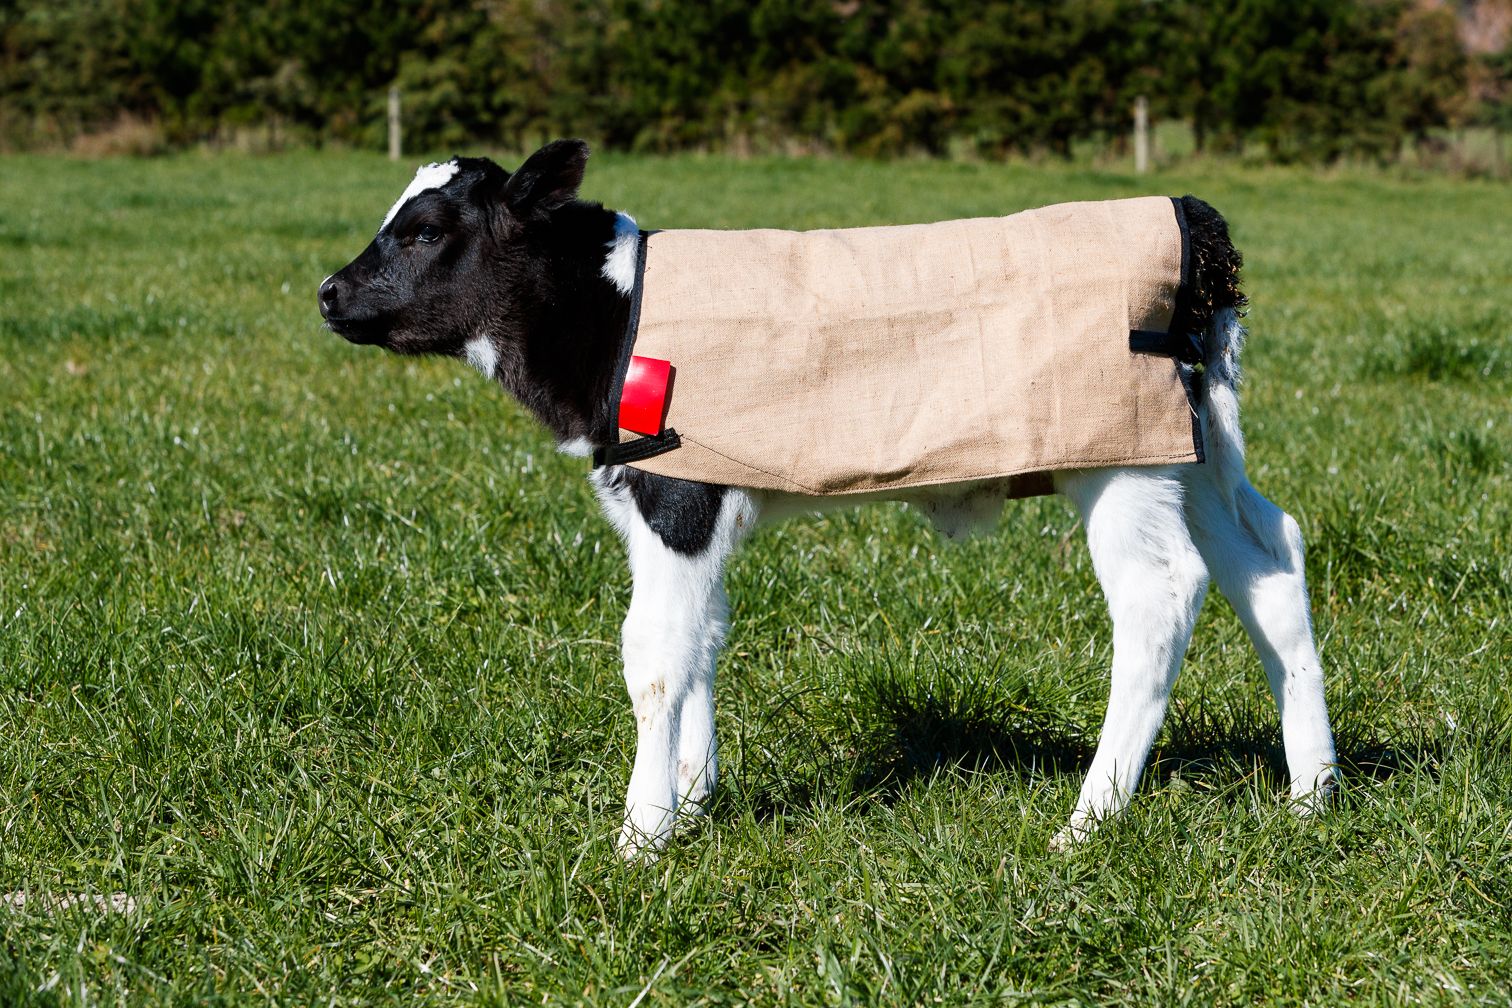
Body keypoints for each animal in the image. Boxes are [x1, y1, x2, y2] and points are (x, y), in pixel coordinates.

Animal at [316, 138, 1336, 858]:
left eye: (422, 229)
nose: (327, 292)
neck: (615, 311)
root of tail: (1189, 215)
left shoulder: (674, 495)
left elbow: (654, 656)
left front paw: (641, 835)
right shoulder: (687, 500)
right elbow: (702, 639)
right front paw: (694, 803)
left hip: (1116, 462)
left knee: (1160, 598)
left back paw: (1089, 820)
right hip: (1189, 450)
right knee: (1269, 559)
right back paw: (1311, 796)